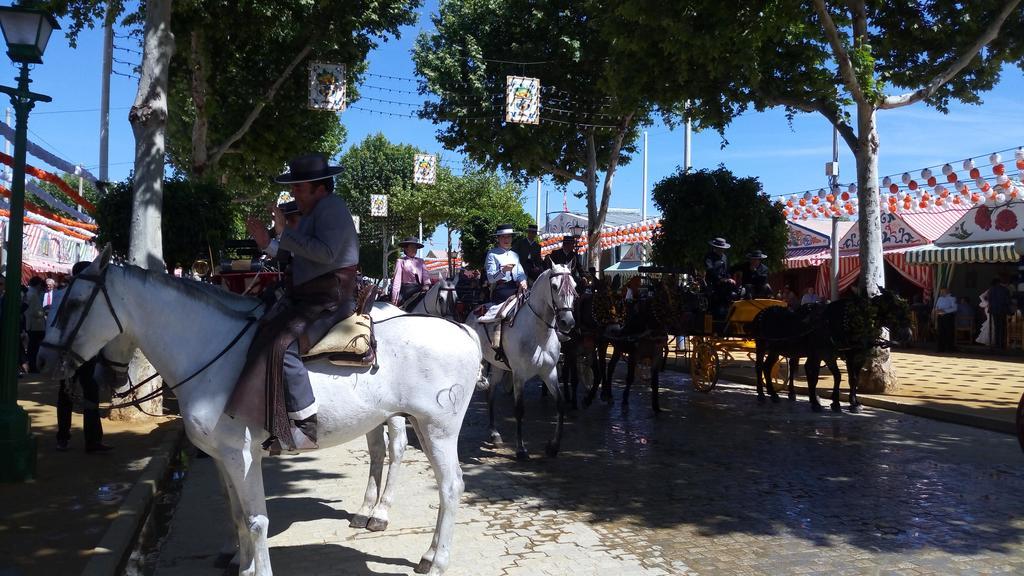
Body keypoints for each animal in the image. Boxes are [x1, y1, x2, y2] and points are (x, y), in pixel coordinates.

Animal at [39, 248, 483, 573]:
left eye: (73, 303)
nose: (46, 363)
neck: (210, 352)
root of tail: (461, 329)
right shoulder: (222, 457)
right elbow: (237, 515)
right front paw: (240, 562)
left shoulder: (242, 454)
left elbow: (256, 521)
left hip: (437, 429)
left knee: (448, 485)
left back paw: (433, 558)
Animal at [466, 264, 577, 457]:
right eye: (554, 286)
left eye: (575, 286)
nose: (567, 322)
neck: (539, 334)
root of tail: (475, 310)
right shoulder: (519, 375)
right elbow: (519, 410)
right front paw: (521, 449)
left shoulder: (550, 373)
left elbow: (560, 404)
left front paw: (553, 446)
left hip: (498, 367)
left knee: (491, 394)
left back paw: (494, 434)